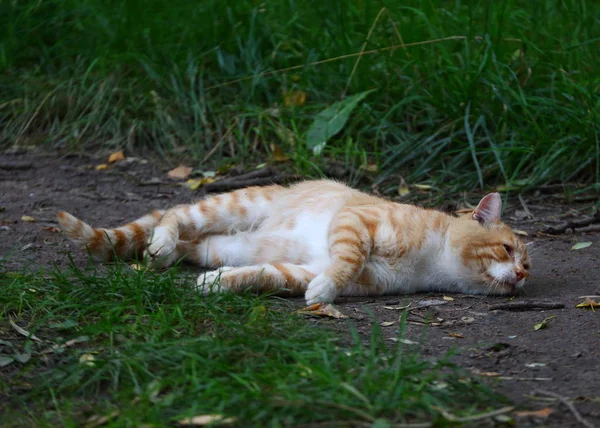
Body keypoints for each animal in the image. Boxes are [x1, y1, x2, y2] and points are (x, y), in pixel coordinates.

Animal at [58, 178, 532, 304]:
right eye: (508, 249)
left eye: (527, 265)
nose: (522, 275)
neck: (433, 260)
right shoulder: (356, 222)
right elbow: (347, 259)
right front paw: (325, 293)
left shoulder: (304, 269)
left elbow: (267, 274)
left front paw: (219, 283)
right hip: (232, 206)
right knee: (175, 212)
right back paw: (160, 241)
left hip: (219, 244)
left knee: (192, 245)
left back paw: (170, 253)